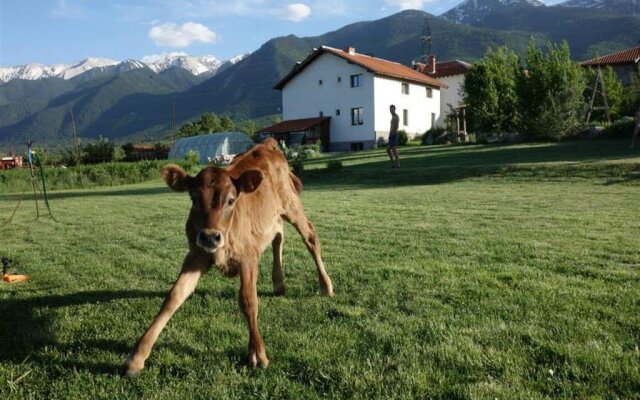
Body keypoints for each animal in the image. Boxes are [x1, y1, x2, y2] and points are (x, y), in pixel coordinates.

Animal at [122, 138, 338, 376]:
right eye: (194, 199)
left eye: (231, 200)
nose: (210, 236)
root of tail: (267, 144)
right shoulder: (195, 255)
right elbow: (173, 297)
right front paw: (137, 356)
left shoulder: (248, 256)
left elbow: (248, 300)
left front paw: (257, 353)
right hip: (270, 215)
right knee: (278, 235)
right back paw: (279, 283)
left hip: (291, 204)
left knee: (310, 237)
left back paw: (325, 285)